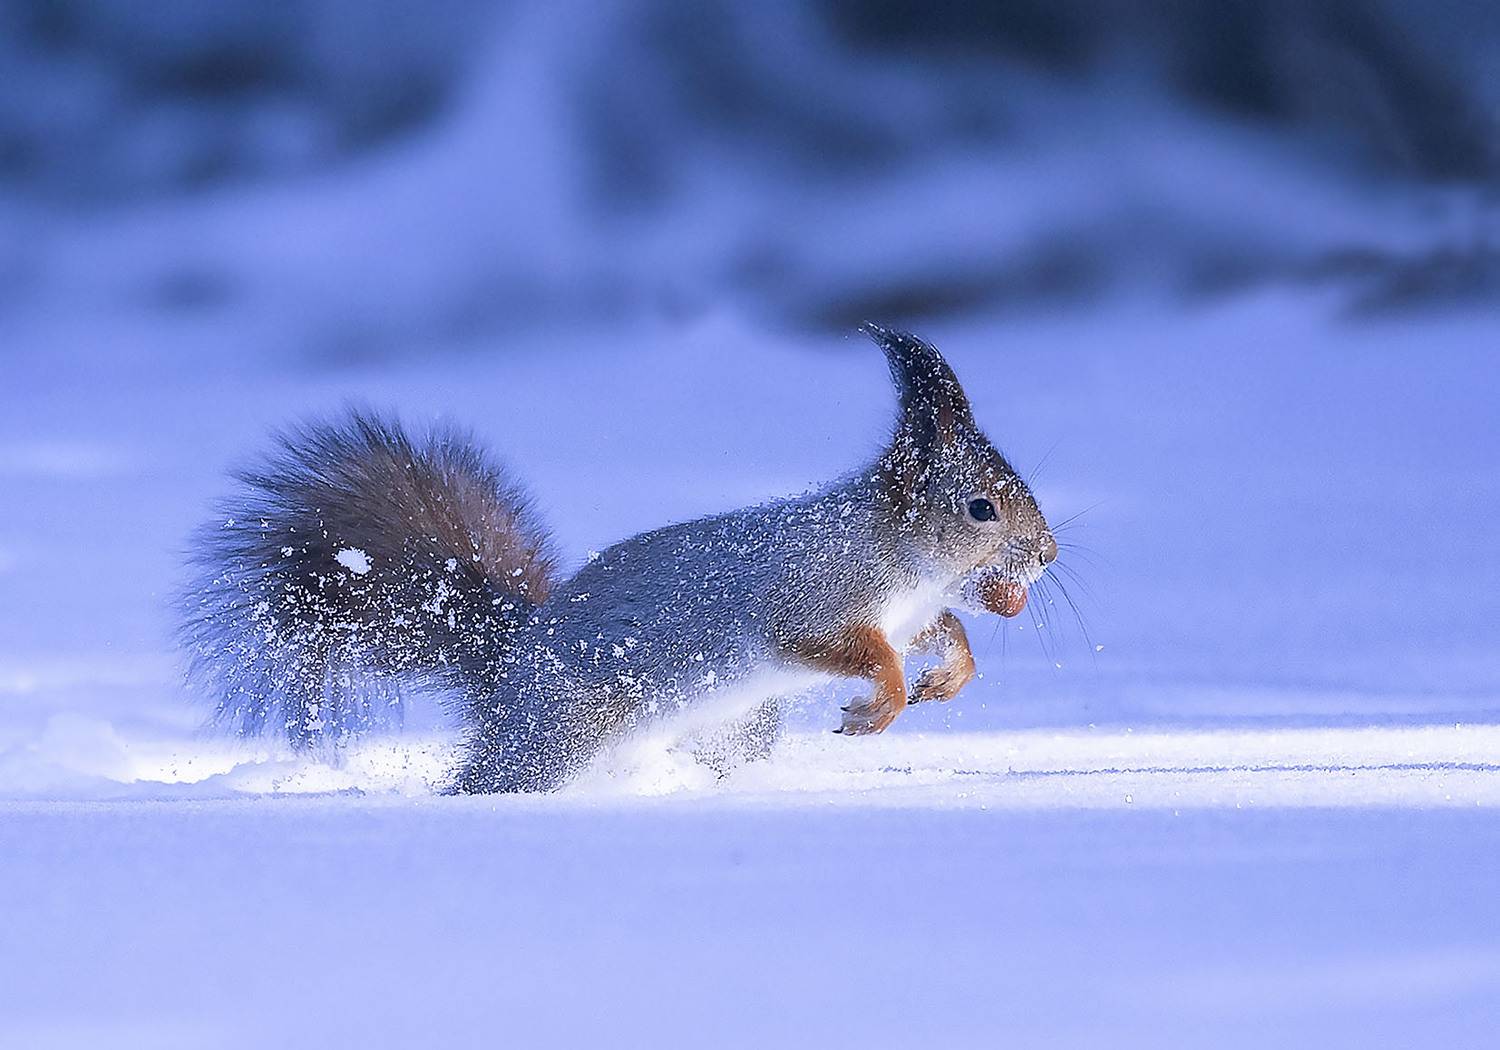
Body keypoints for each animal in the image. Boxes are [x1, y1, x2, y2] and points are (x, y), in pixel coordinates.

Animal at [179, 324, 1057, 793]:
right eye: (980, 508)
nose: (1047, 554)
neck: (895, 554)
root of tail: (507, 670)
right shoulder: (812, 599)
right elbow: (855, 652)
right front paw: (884, 702)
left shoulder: (913, 609)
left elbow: (946, 631)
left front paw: (949, 674)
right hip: (560, 732)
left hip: (731, 729)